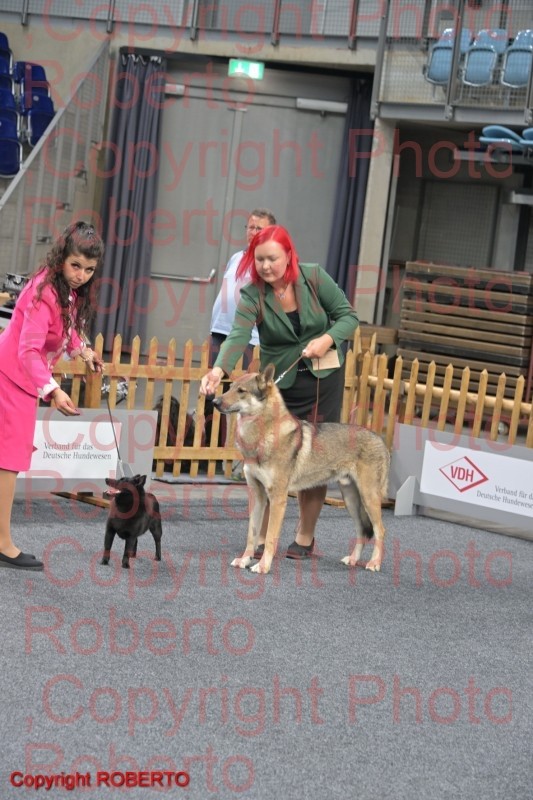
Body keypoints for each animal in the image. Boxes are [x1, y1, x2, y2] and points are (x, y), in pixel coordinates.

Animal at [212, 364, 390, 575]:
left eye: (241, 391)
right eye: (230, 387)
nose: (214, 401)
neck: (262, 436)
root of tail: (380, 439)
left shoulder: (278, 499)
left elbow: (270, 537)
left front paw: (262, 566)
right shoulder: (257, 495)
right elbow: (252, 534)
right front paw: (245, 559)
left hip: (368, 498)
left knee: (380, 530)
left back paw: (375, 563)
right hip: (351, 500)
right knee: (362, 530)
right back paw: (353, 560)